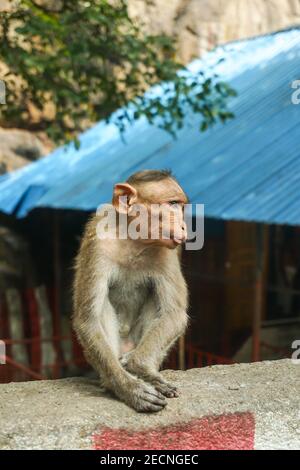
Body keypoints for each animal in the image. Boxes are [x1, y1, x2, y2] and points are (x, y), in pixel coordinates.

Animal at [73, 169, 189, 412]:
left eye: (180, 206)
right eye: (172, 204)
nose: (184, 226)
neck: (134, 241)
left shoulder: (167, 252)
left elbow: (174, 314)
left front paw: (141, 370)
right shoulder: (97, 242)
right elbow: (88, 319)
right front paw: (130, 388)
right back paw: (111, 383)